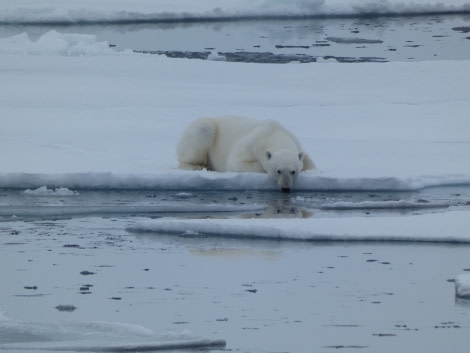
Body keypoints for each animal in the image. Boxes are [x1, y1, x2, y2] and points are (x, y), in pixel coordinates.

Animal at [177, 117, 316, 191]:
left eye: (293, 171)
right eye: (278, 171)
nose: (286, 188)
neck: (275, 132)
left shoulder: (296, 143)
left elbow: (308, 162)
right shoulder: (252, 143)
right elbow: (237, 162)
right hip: (203, 130)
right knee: (202, 131)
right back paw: (199, 166)